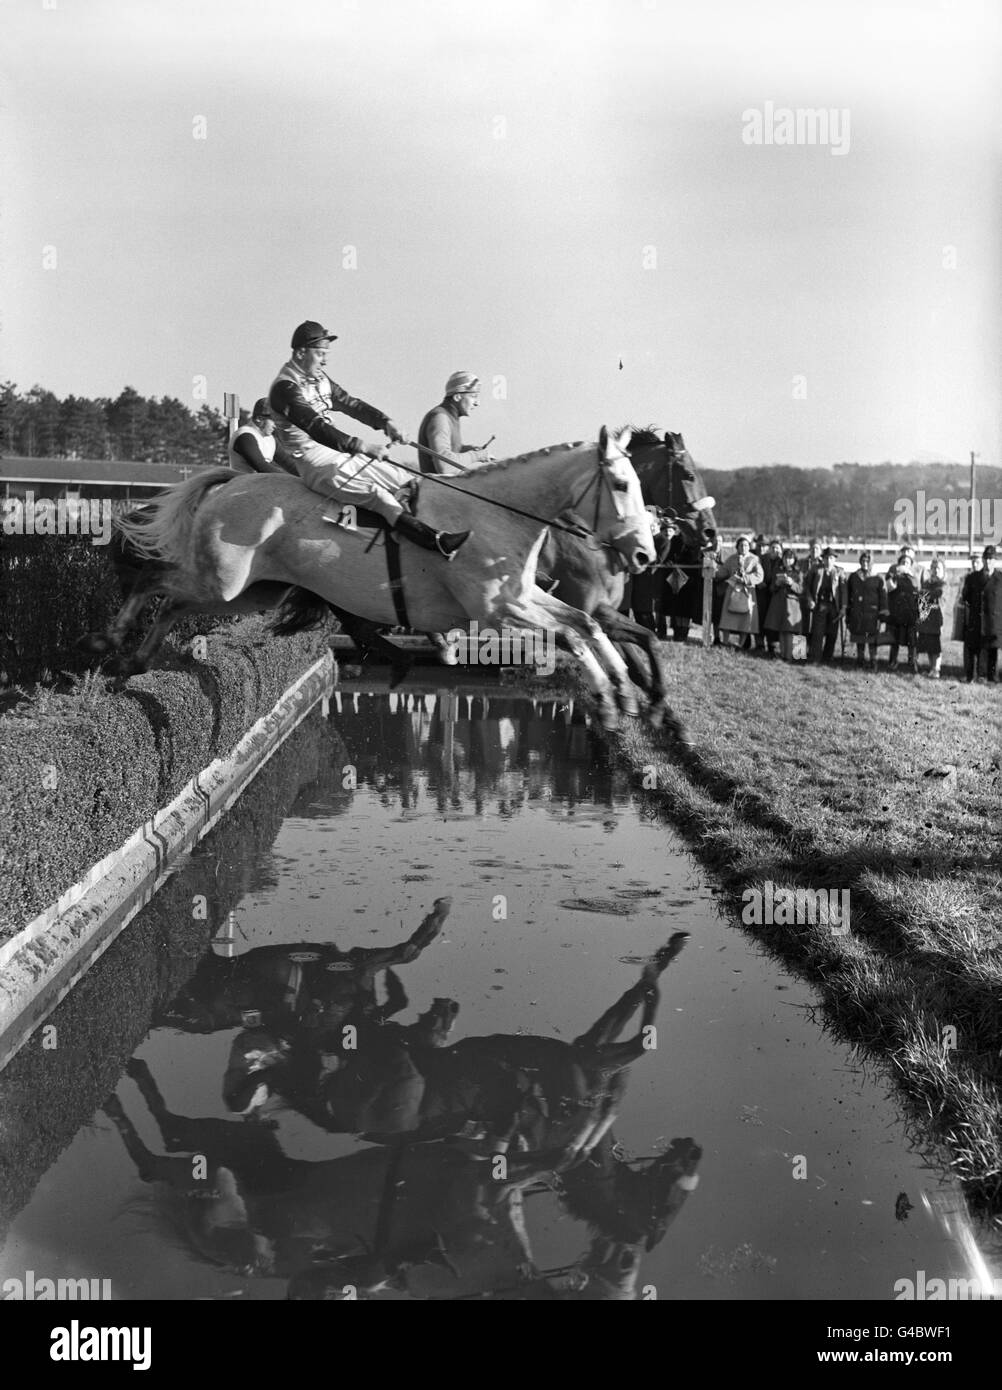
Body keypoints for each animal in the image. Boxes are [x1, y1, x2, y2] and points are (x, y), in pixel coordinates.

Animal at [97, 422, 653, 728]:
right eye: (623, 484)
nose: (646, 553)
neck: (494, 515)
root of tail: (233, 481)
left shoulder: (525, 598)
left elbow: (586, 623)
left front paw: (628, 693)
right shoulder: (499, 611)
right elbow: (575, 634)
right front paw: (610, 700)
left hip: (251, 592)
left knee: (172, 602)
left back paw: (134, 660)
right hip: (223, 581)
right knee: (154, 581)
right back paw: (109, 639)